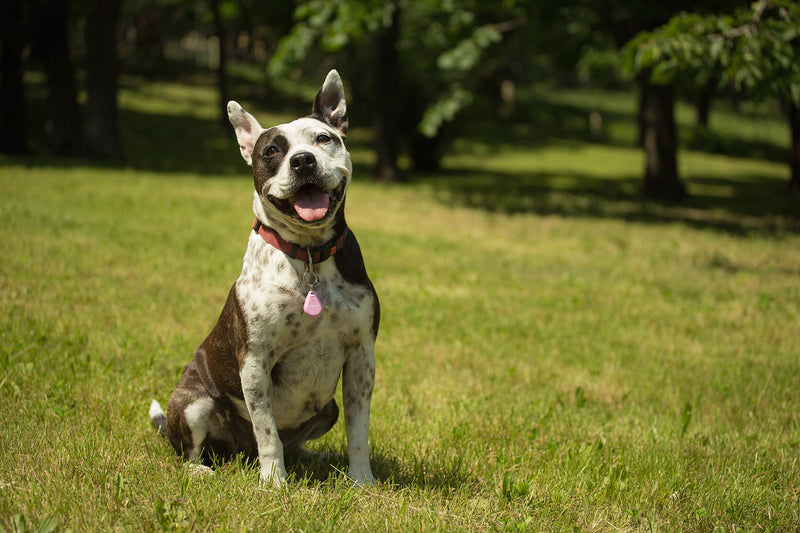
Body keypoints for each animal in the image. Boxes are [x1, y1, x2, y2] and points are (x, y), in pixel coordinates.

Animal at [151, 70, 382, 486]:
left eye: (324, 138)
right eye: (272, 152)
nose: (303, 161)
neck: (309, 256)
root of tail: (237, 452)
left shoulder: (361, 356)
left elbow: (358, 430)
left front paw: (361, 480)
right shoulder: (255, 362)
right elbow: (267, 432)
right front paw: (274, 483)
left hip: (328, 409)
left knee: (297, 441)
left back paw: (318, 457)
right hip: (193, 402)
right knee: (197, 449)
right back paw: (201, 470)